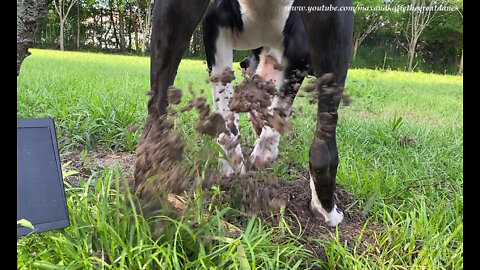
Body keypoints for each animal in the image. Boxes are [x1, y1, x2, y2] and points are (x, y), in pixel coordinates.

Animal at [148, 0, 354, 227]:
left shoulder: (217, 24)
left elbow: (227, 109)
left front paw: (234, 166)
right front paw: (257, 156)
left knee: (157, 108)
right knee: (324, 146)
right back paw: (327, 211)